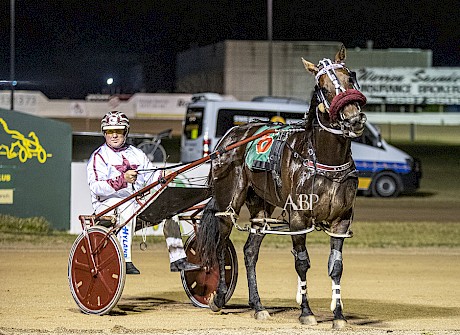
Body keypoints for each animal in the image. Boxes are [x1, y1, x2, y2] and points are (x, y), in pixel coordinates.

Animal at [196, 44, 368, 330]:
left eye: (350, 77)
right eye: (322, 87)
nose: (353, 119)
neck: (324, 158)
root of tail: (229, 138)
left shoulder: (342, 219)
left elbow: (336, 266)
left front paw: (339, 316)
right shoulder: (299, 218)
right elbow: (302, 263)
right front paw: (306, 312)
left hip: (260, 207)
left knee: (250, 252)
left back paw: (258, 306)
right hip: (228, 203)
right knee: (221, 247)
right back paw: (218, 298)